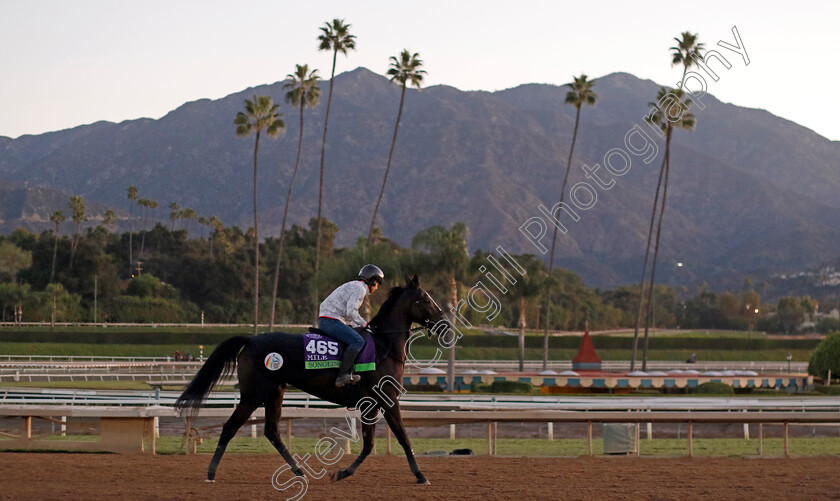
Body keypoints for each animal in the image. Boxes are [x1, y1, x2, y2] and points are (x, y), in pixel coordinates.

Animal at [172, 276, 446, 482]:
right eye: (425, 298)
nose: (444, 323)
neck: (383, 346)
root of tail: (250, 340)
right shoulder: (387, 400)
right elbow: (402, 436)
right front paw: (420, 475)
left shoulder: (370, 405)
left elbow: (369, 445)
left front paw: (342, 472)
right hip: (253, 394)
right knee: (230, 427)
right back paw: (211, 472)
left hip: (274, 392)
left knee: (272, 431)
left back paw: (298, 470)